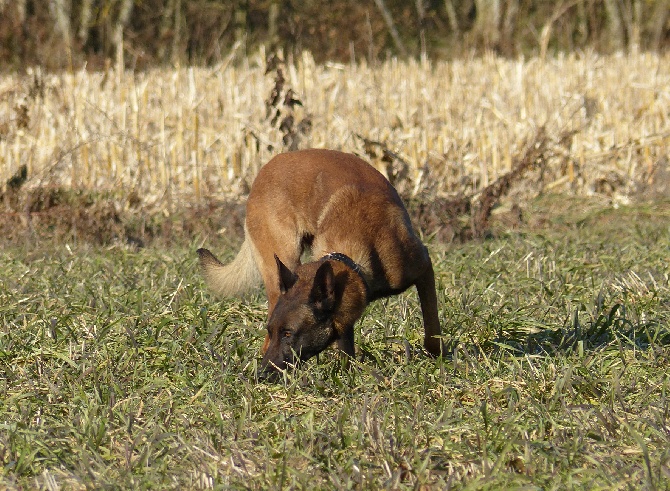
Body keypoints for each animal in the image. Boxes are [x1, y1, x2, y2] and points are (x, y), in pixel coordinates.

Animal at [197, 148, 444, 378]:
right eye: (275, 331)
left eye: (289, 334)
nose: (262, 375)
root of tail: (266, 168)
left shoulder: (423, 267)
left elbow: (432, 327)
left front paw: (438, 357)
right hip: (281, 263)